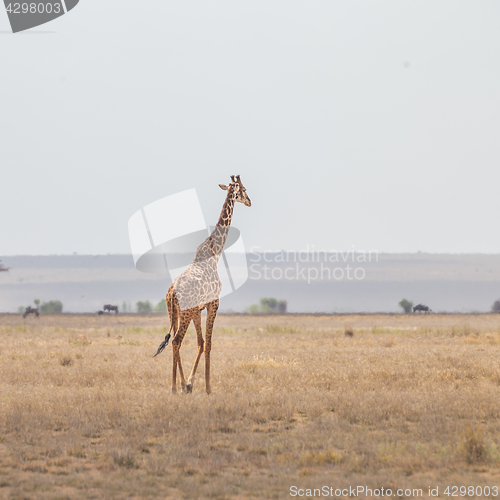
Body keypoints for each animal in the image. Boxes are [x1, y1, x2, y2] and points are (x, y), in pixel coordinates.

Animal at [154, 176, 252, 394]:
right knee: (176, 341)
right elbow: (209, 343)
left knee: (175, 341)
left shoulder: (198, 310)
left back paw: (180, 385)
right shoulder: (213, 303)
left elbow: (200, 342)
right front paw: (207, 388)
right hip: (185, 313)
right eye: (243, 189)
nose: (250, 201)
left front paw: (191, 383)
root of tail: (171, 294)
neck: (215, 253)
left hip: (174, 312)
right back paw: (175, 387)